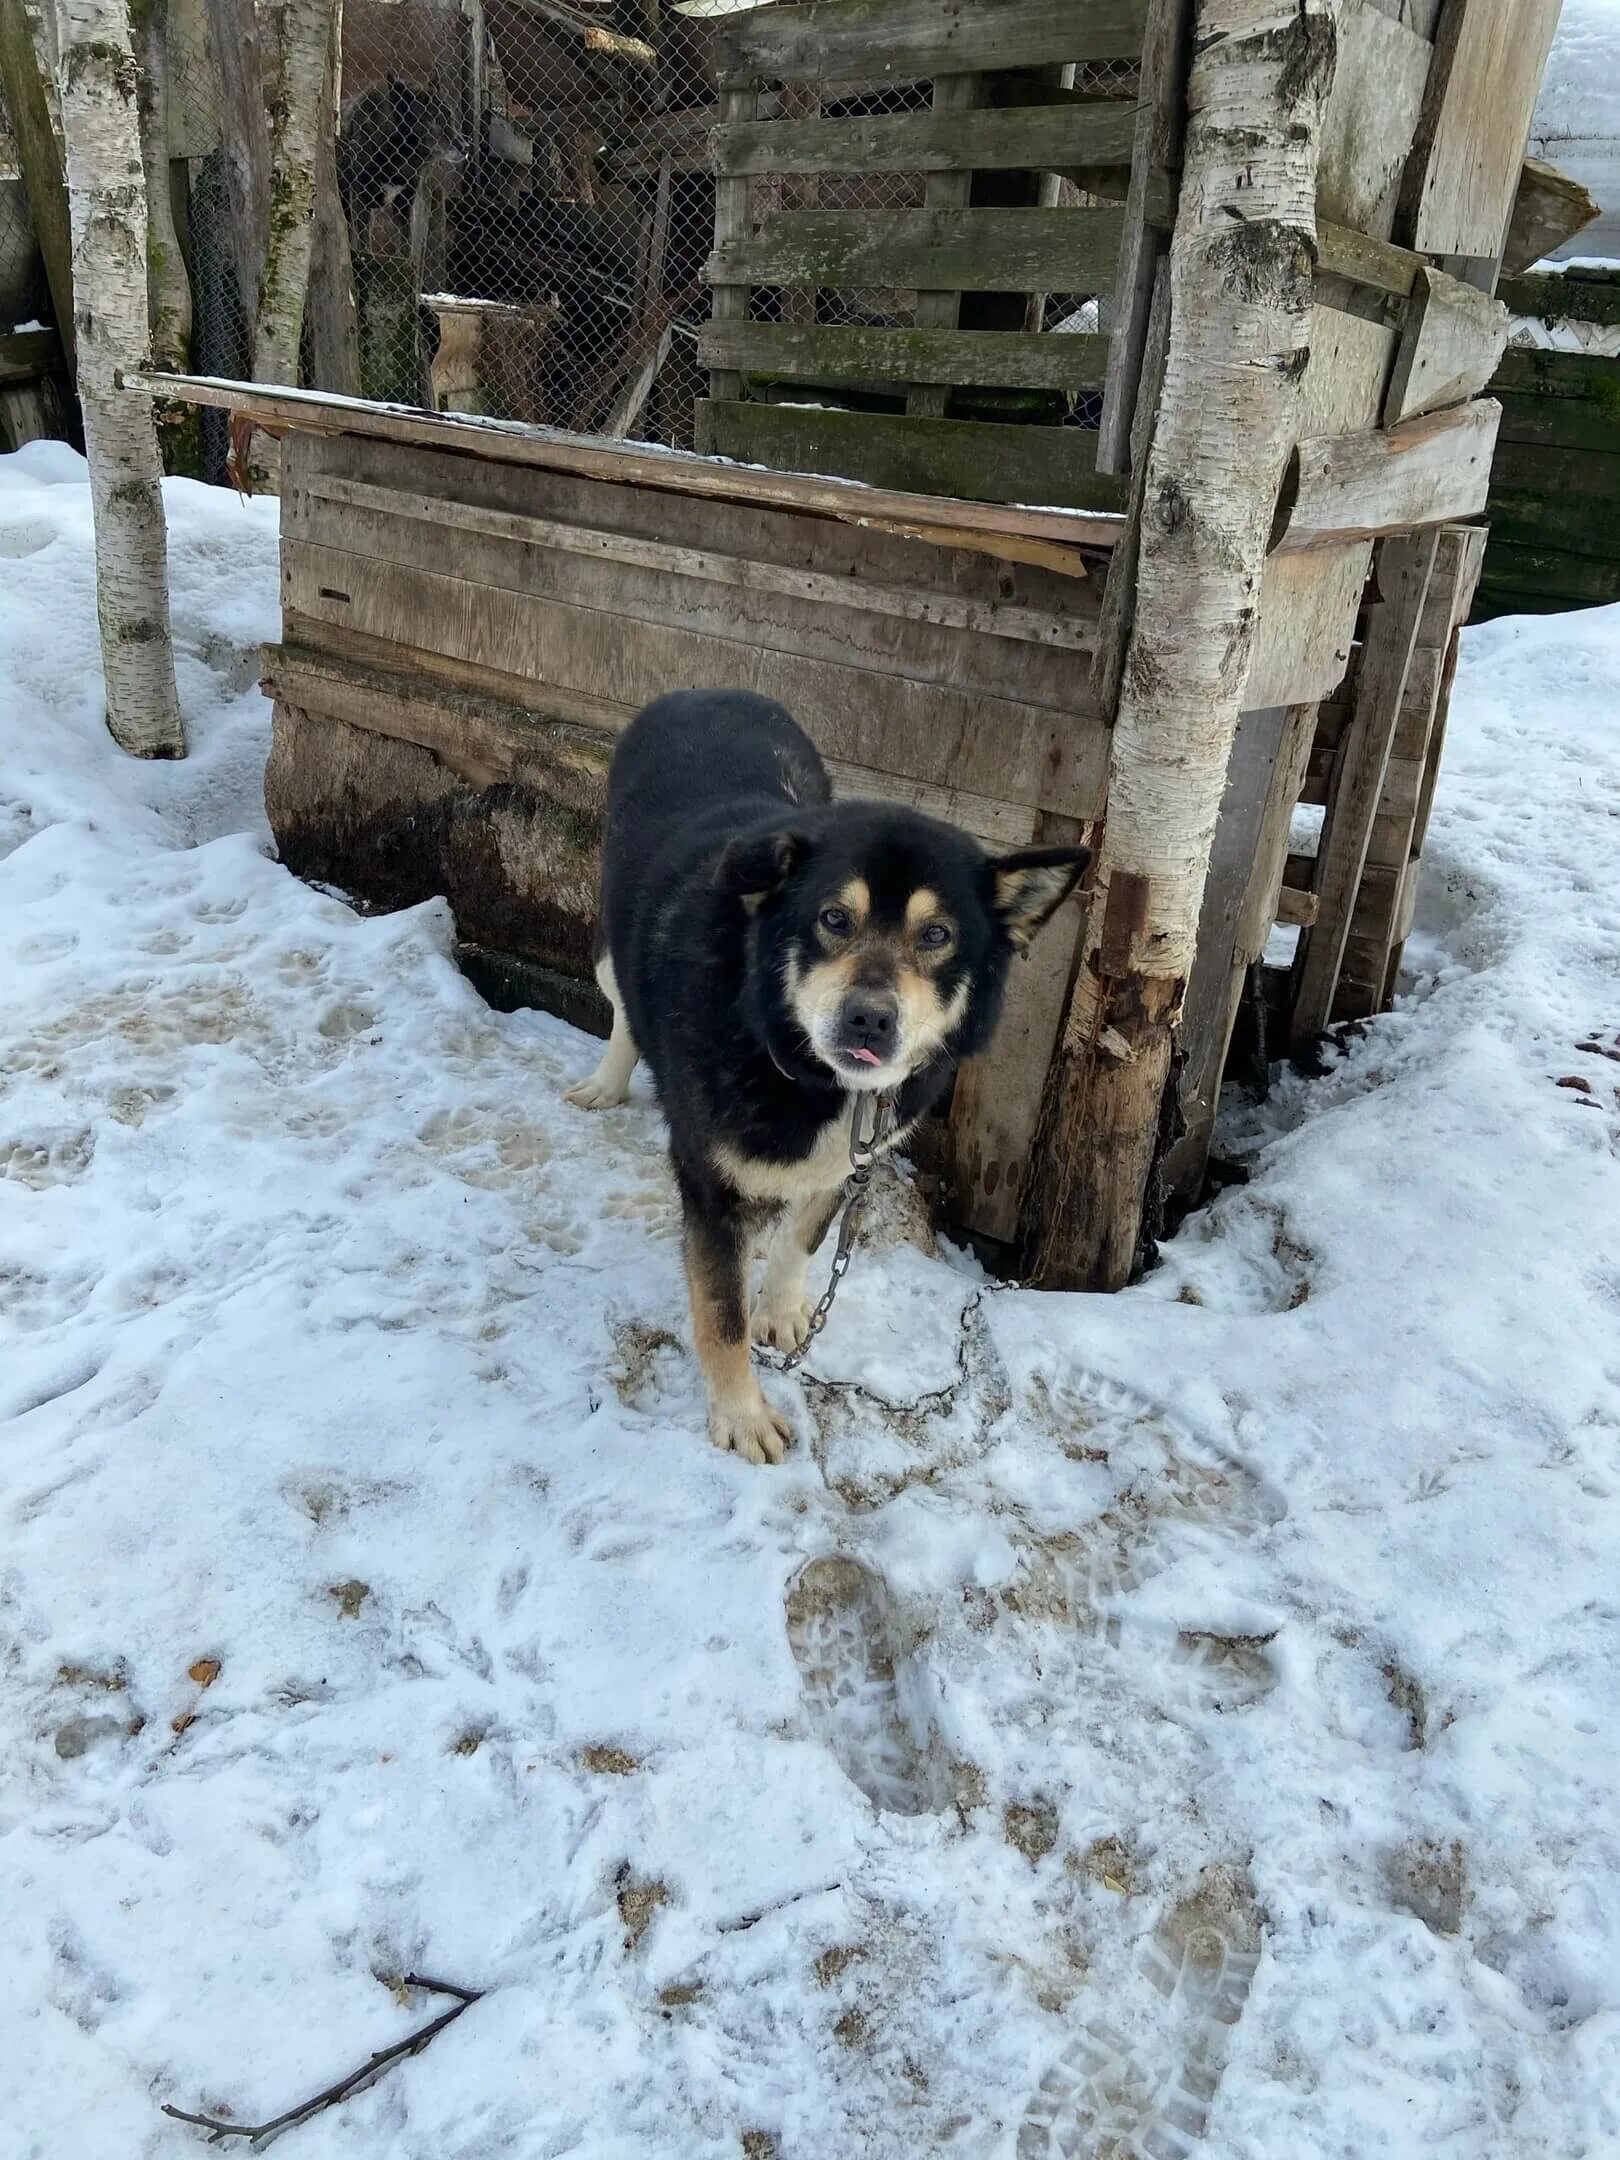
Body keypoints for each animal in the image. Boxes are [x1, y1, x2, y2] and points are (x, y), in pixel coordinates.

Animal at [565, 691, 1092, 1468]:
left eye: (937, 936)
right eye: (834, 919)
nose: (870, 1019)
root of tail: (708, 692)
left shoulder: (848, 1162)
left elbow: (802, 1240)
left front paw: (782, 1310)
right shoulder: (710, 1186)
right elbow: (719, 1313)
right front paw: (742, 1416)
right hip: (609, 946)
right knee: (625, 1010)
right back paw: (606, 1083)